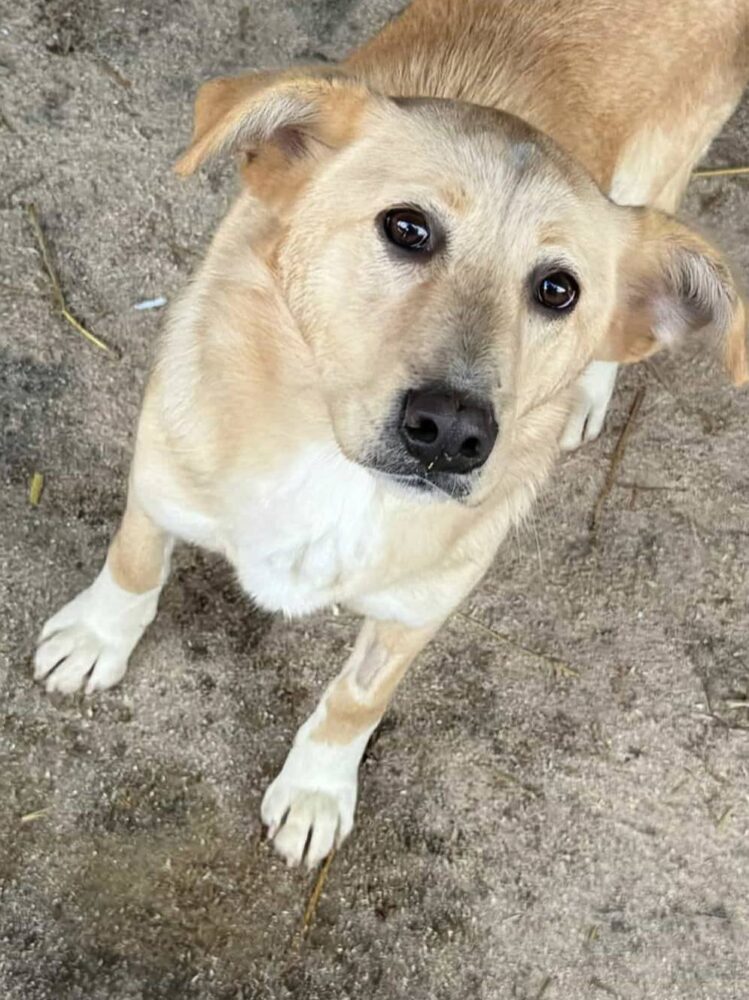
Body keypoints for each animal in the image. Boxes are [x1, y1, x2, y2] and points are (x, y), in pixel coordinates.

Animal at [34, 0, 749, 867]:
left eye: (557, 290)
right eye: (406, 228)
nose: (453, 432)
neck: (333, 469)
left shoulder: (419, 610)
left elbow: (354, 701)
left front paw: (315, 790)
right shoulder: (163, 467)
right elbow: (135, 564)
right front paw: (96, 636)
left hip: (660, 172)